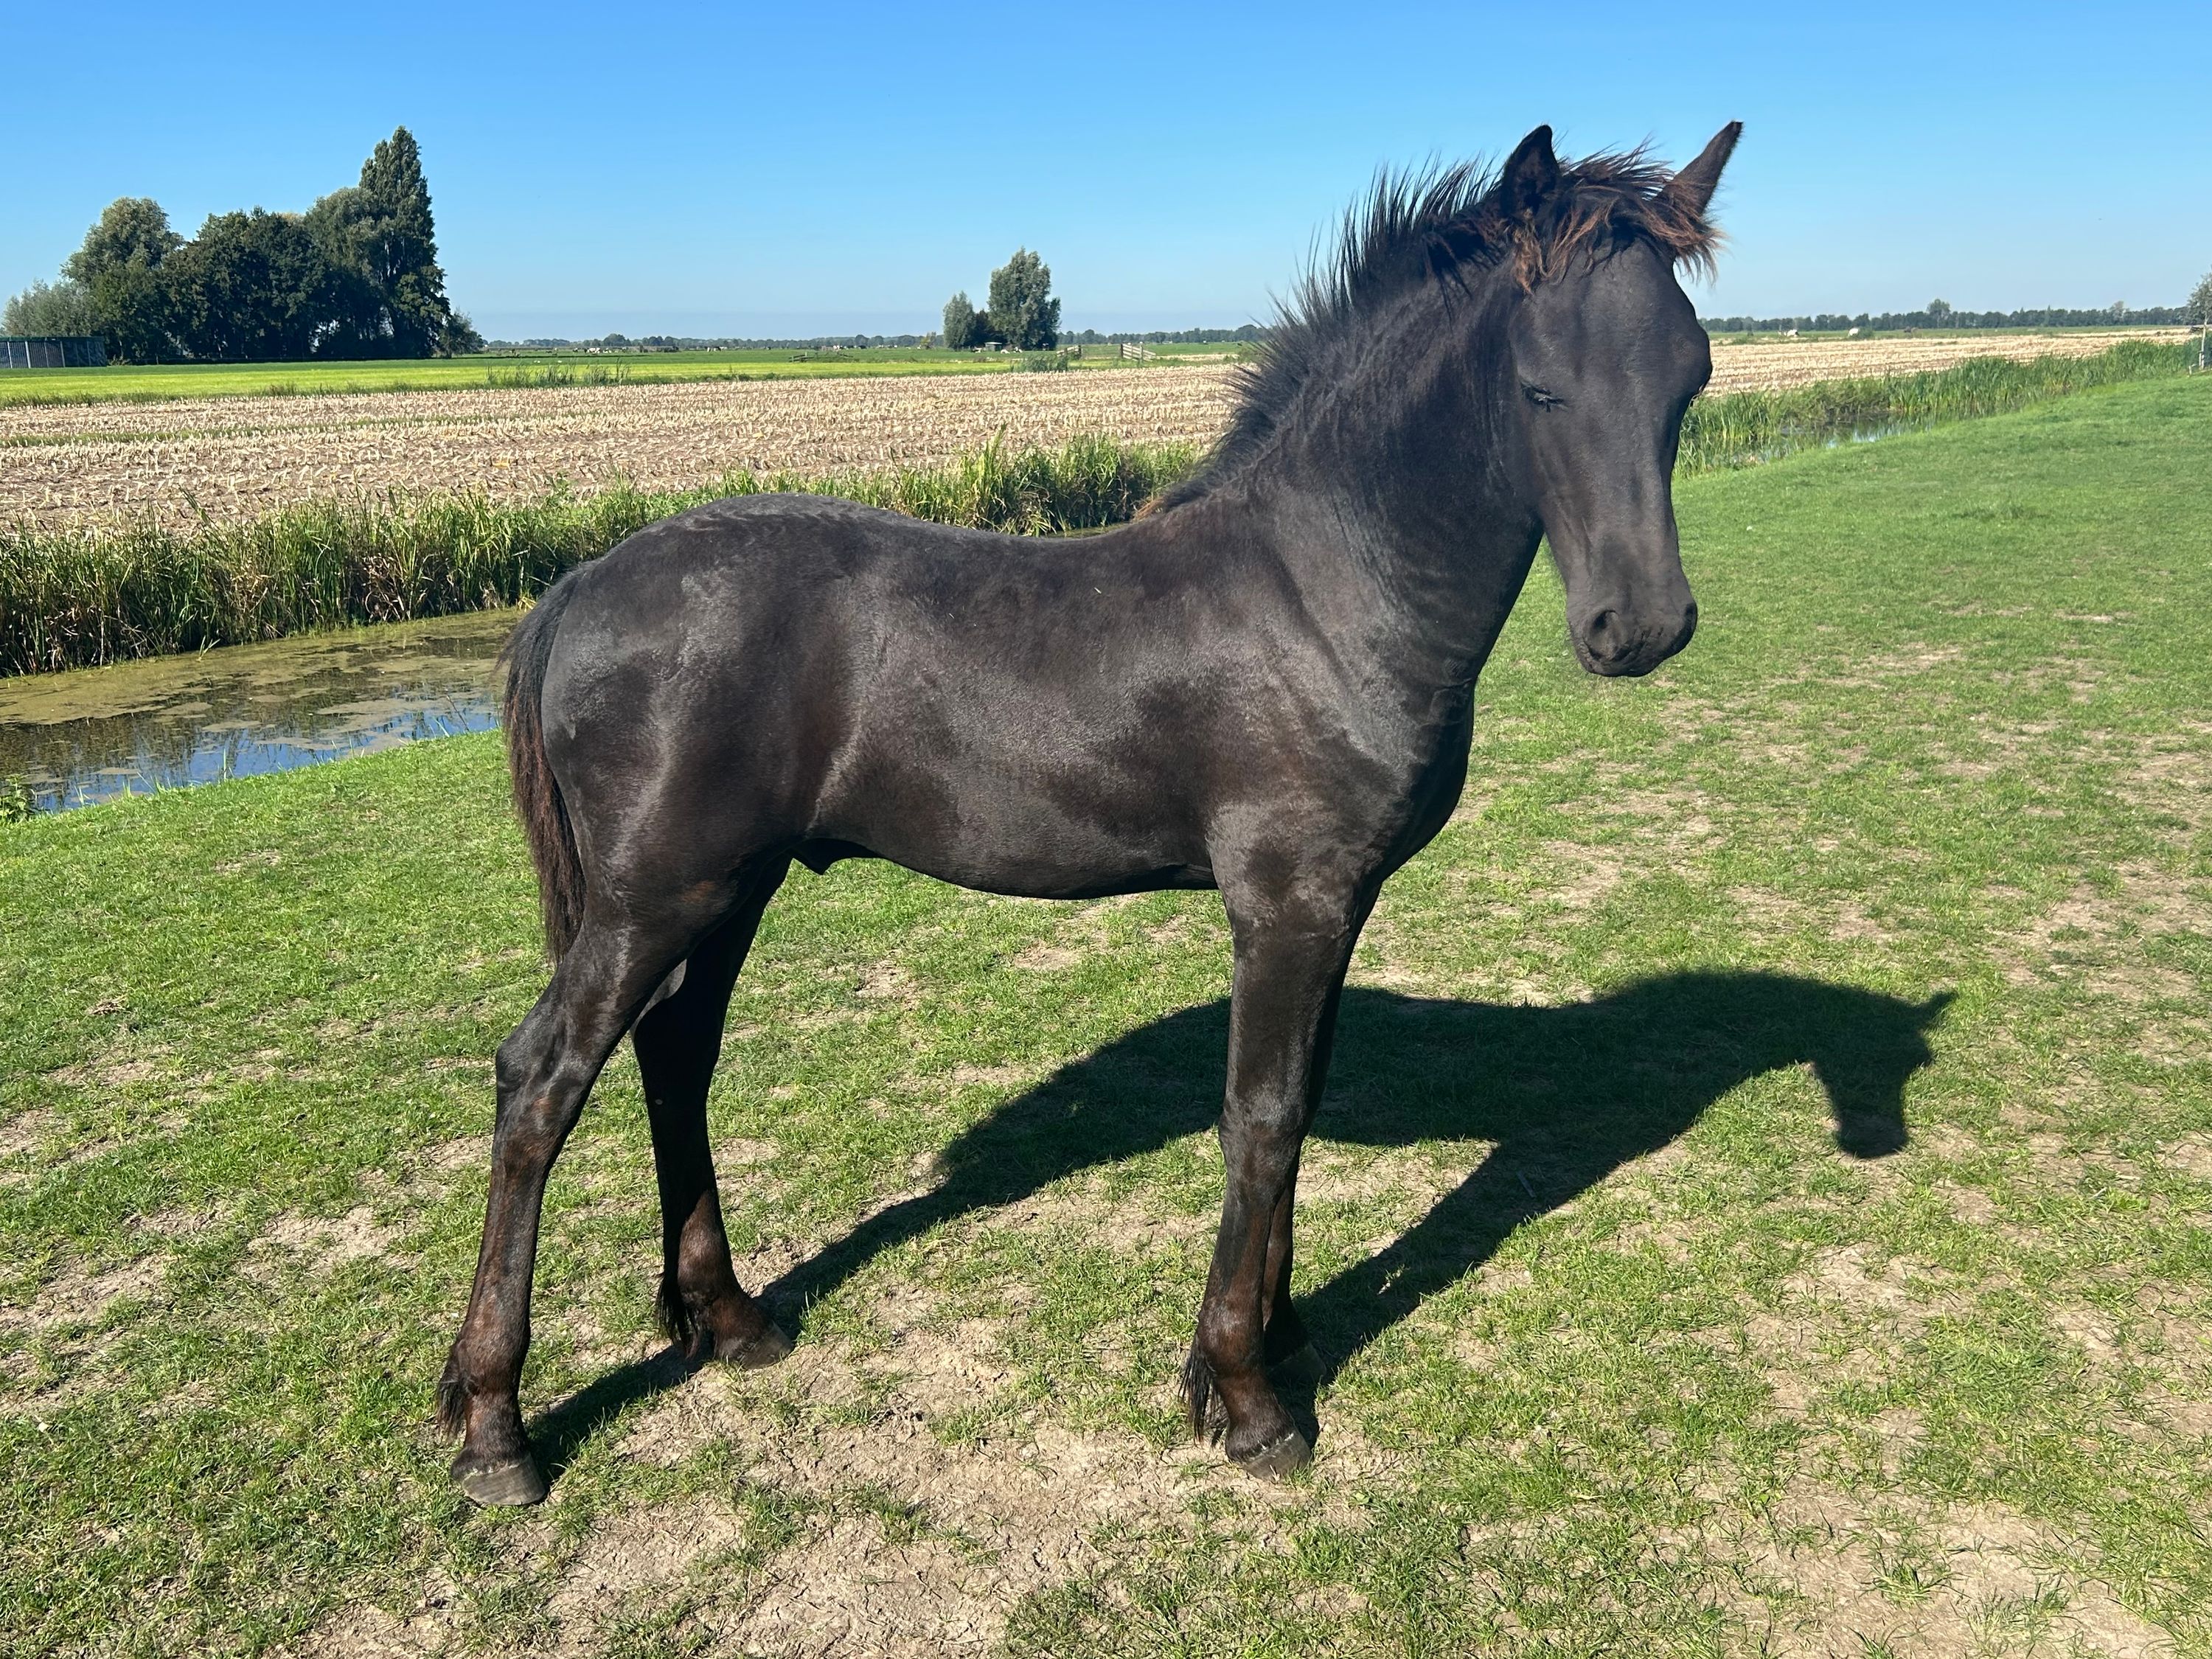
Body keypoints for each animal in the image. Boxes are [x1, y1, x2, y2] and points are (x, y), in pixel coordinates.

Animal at [437, 121, 1743, 1505]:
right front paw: (1244, 1395)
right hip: (654, 898)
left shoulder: (1336, 909)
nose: (1641, 629)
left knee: (675, 1058)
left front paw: (1277, 1336)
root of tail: (581, 581)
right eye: (1541, 386)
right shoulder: (1286, 904)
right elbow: (1260, 1121)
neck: (1326, 587)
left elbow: (1300, 1110)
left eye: (1691, 376)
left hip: (729, 889)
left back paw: (729, 1319)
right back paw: (496, 1426)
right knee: (541, 1082)